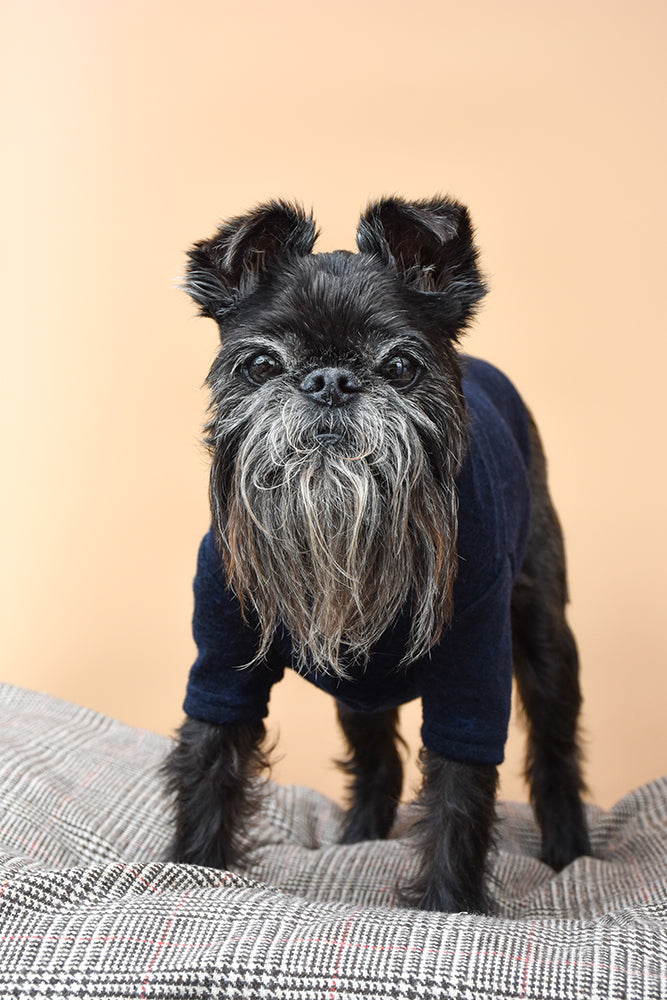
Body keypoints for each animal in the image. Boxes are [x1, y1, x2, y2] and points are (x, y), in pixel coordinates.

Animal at [164, 195, 592, 916]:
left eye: (399, 367)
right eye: (260, 366)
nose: (330, 381)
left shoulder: (473, 679)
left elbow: (459, 798)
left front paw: (449, 905)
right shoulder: (224, 663)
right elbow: (208, 762)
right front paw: (192, 871)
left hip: (545, 639)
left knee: (556, 752)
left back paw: (570, 852)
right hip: (355, 692)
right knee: (376, 761)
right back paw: (357, 837)